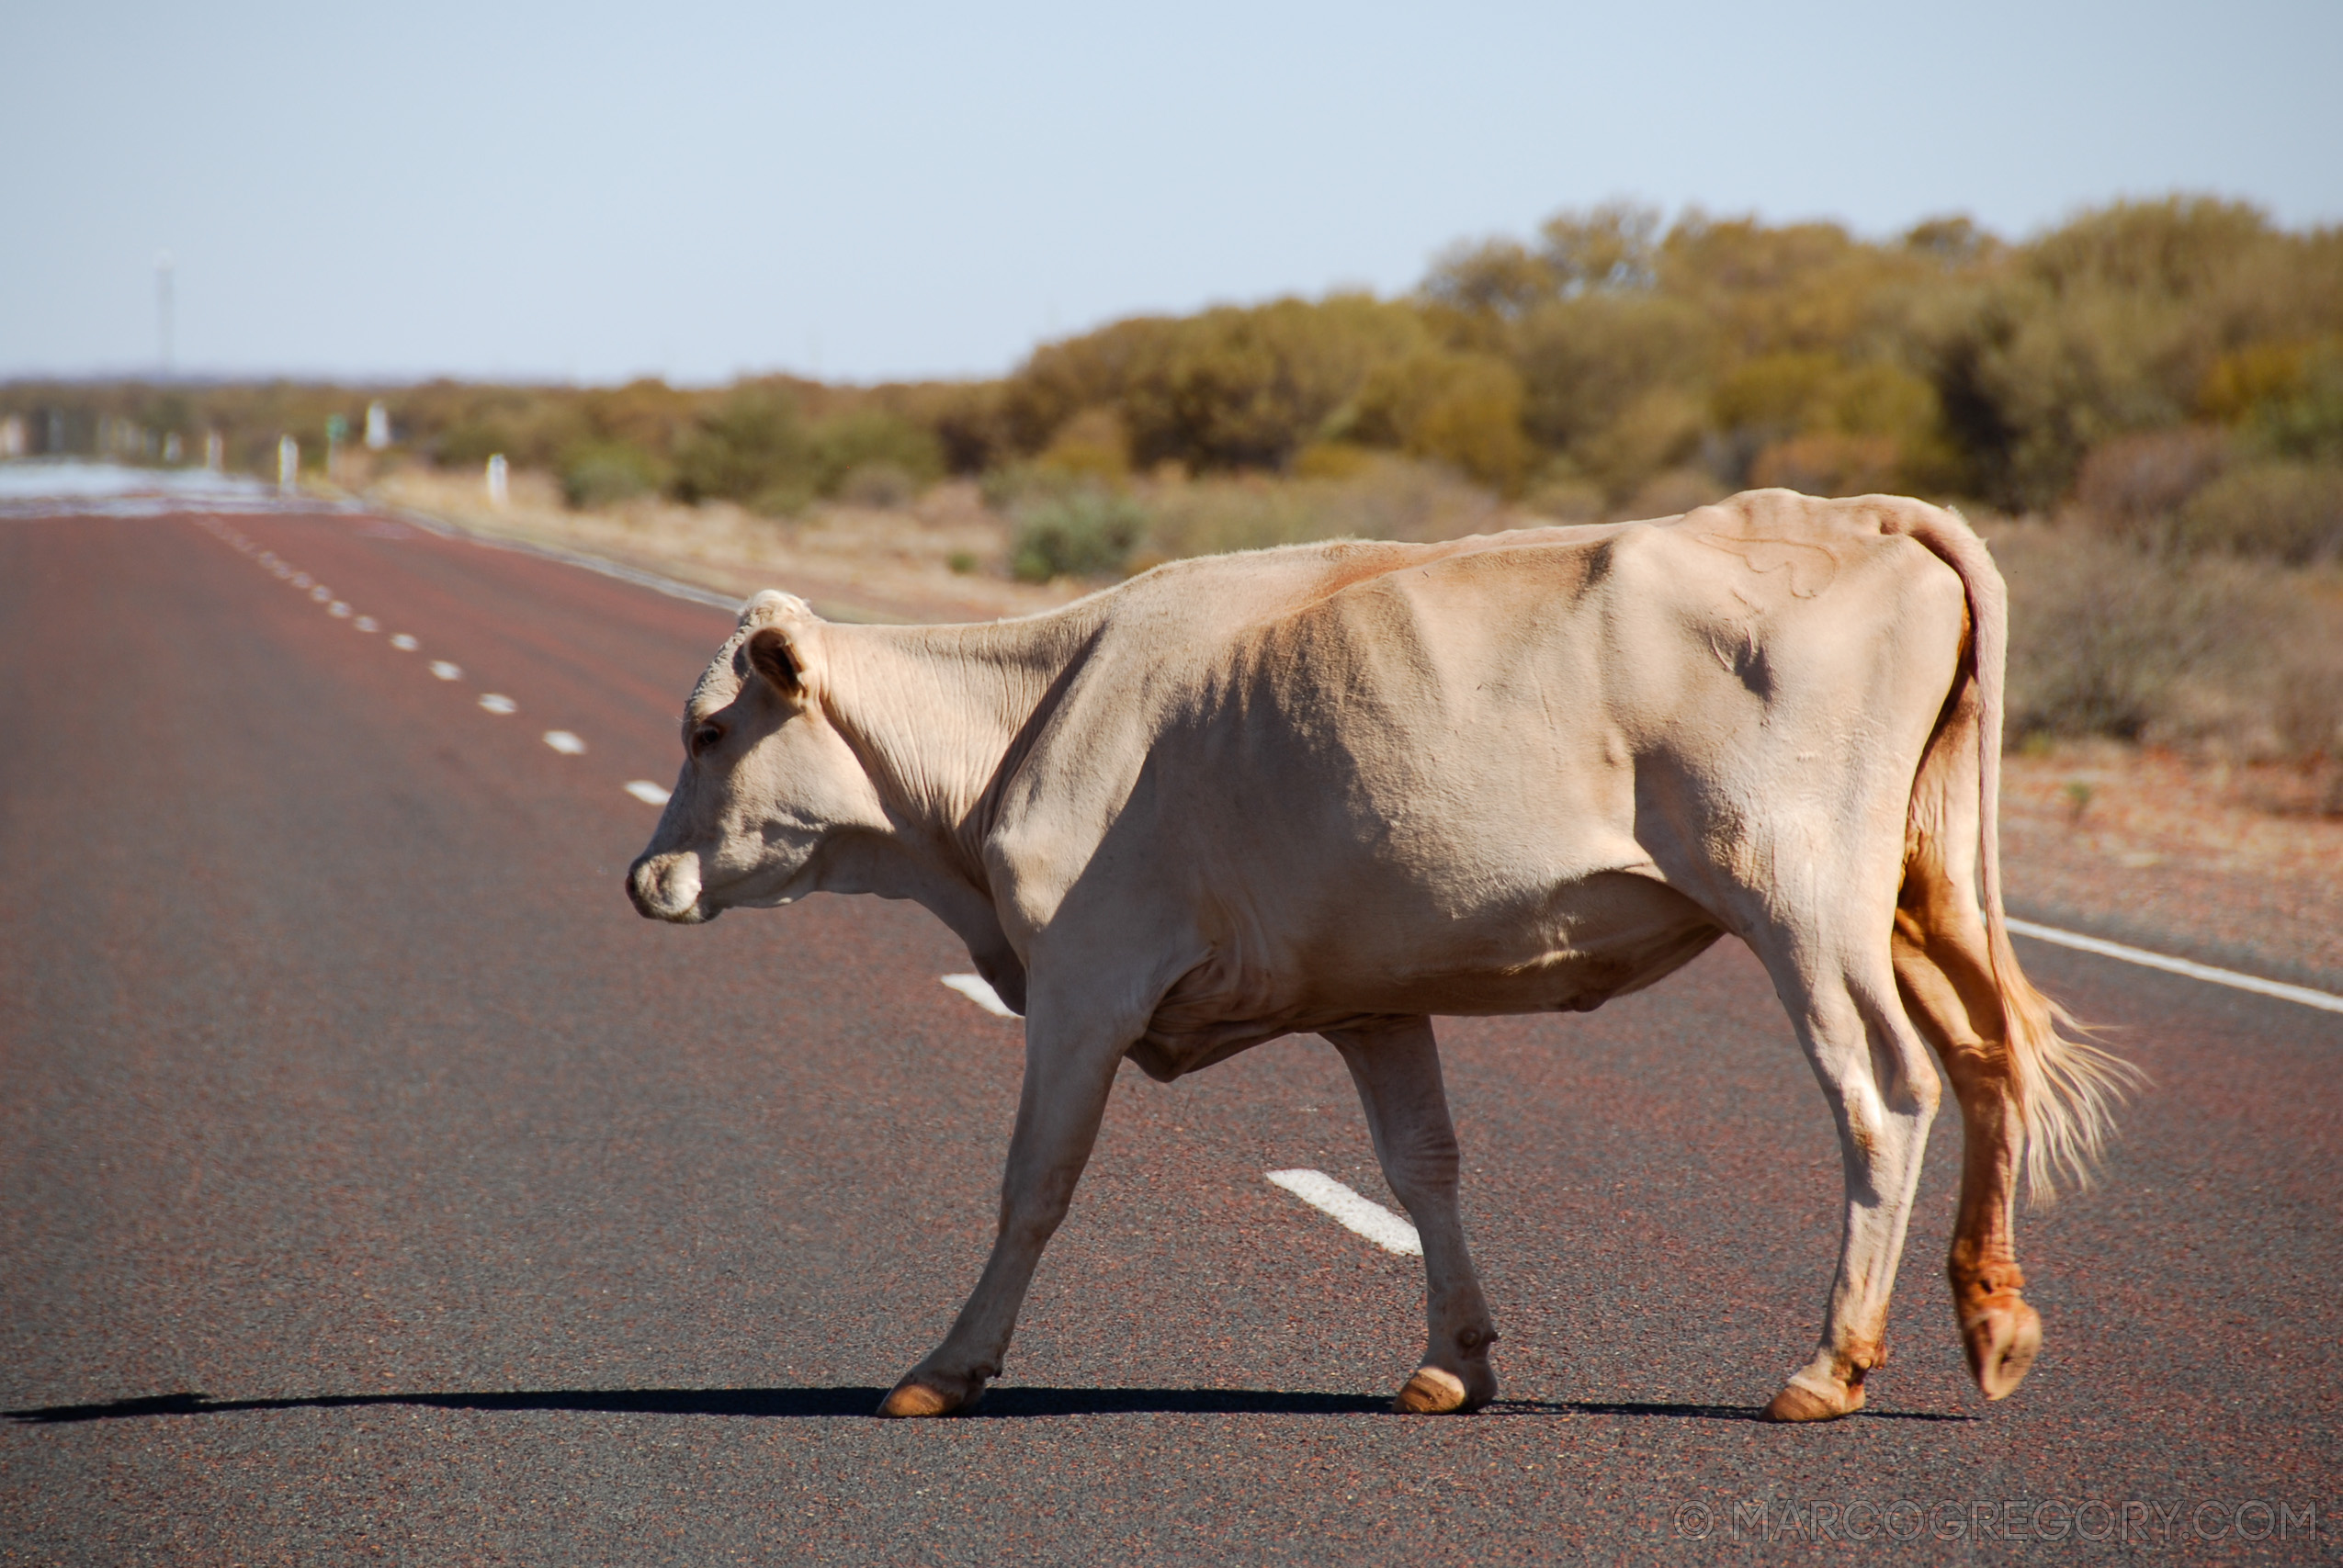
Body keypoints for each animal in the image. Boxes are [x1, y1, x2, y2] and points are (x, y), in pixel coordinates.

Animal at [632, 485, 2136, 1416]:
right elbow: (1423, 1167)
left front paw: (946, 1366)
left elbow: (1035, 1182)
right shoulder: (1367, 994)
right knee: (1990, 1059)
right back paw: (1992, 1319)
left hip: (1803, 898)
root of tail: (1847, 510)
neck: (1021, 723)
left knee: (1883, 1095)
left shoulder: (1081, 983)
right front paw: (1454, 1360)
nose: (645, 877)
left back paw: (1830, 1364)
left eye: (709, 729)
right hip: (1920, 893)